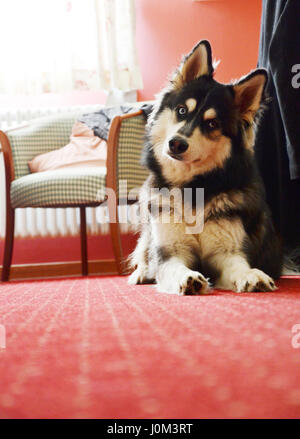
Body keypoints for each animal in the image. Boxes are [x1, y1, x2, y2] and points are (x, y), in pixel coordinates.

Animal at [127, 40, 282, 296]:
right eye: (182, 110)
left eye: (212, 123)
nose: (176, 143)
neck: (192, 187)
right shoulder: (171, 250)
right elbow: (171, 267)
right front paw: (187, 277)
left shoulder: (225, 251)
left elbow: (239, 266)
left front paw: (252, 274)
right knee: (144, 251)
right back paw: (140, 273)